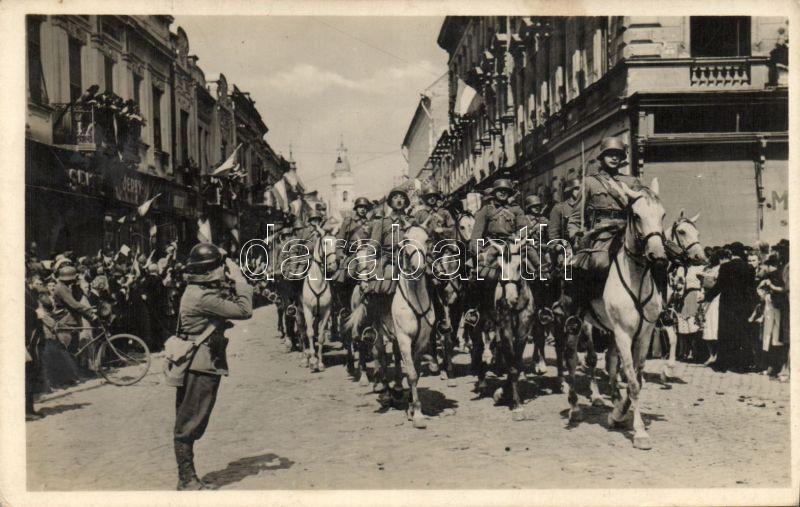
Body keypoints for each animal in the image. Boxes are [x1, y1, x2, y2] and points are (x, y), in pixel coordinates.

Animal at [563, 177, 668, 450]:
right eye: (636, 215)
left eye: (662, 215)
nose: (658, 257)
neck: (637, 277)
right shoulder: (623, 334)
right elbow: (631, 381)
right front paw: (639, 432)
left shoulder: (644, 335)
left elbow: (636, 379)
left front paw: (618, 413)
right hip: (576, 325)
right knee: (572, 361)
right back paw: (575, 407)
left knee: (606, 362)